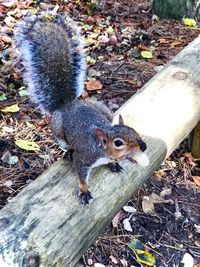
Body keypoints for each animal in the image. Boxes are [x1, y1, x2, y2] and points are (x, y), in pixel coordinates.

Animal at [14, 13, 149, 205]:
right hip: (58, 131)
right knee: (66, 146)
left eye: (133, 130)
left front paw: (113, 164)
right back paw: (68, 152)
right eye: (118, 143)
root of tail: (68, 105)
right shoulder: (84, 158)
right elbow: (81, 176)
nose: (143, 146)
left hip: (101, 108)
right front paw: (84, 191)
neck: (101, 148)